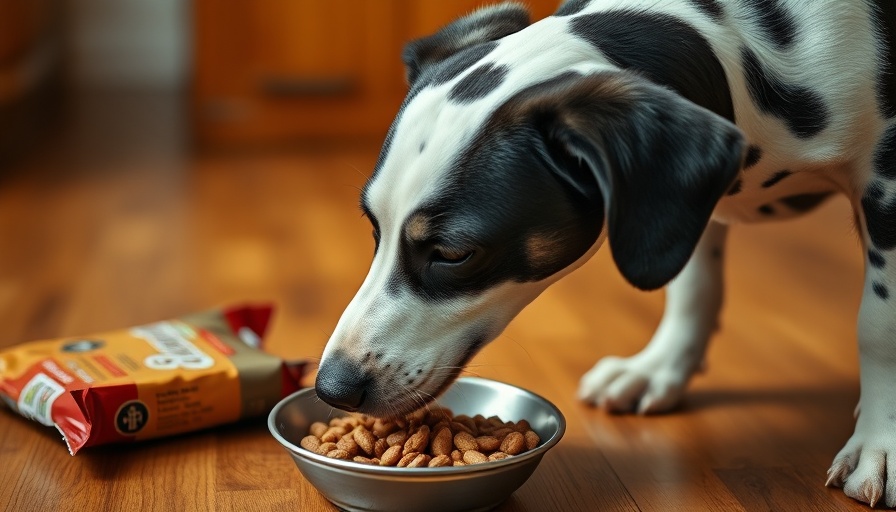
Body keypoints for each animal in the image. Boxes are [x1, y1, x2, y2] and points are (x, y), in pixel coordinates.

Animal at [316, 0, 896, 504]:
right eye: (374, 228)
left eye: (453, 253)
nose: (331, 388)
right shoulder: (685, 207)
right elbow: (692, 284)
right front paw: (661, 366)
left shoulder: (886, 185)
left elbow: (876, 326)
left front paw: (881, 444)